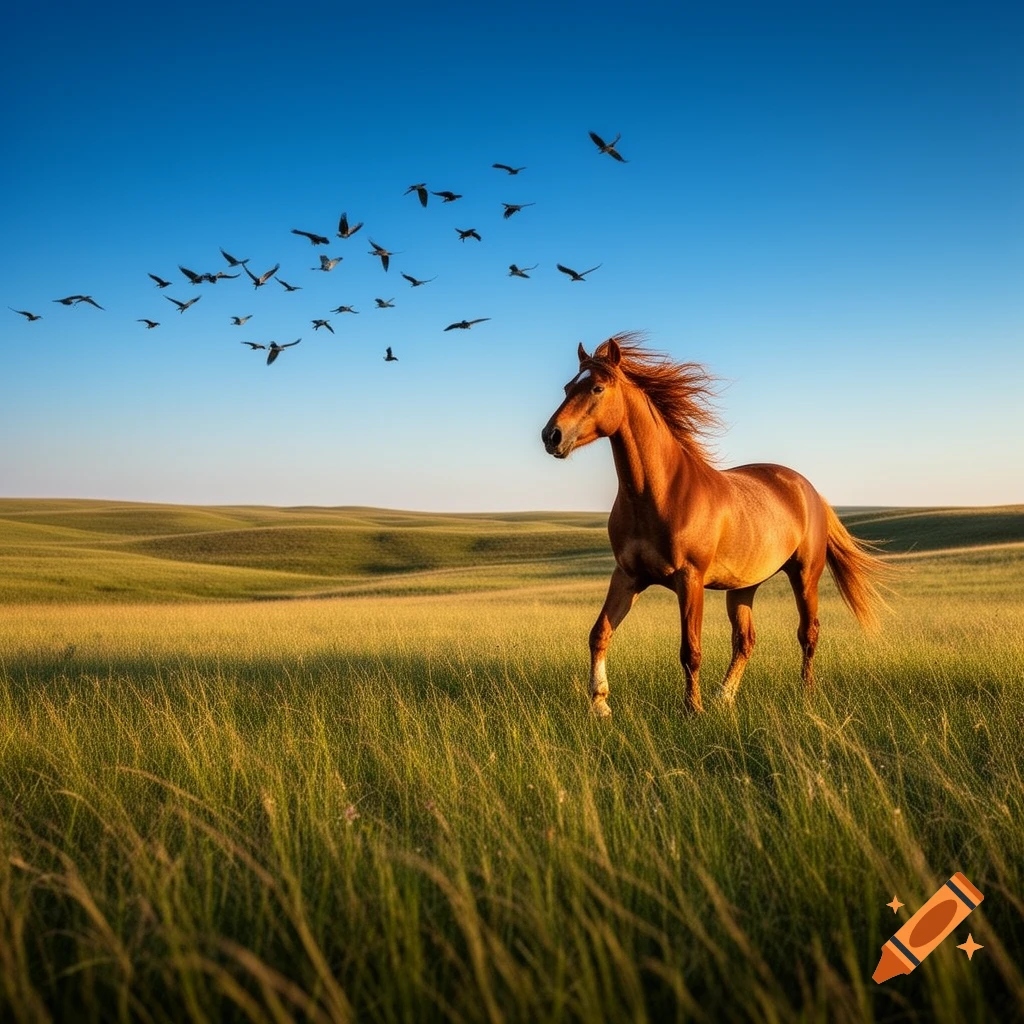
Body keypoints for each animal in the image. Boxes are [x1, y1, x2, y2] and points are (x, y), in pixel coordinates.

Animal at [540, 333, 889, 717]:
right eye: (567, 387)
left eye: (597, 388)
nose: (551, 436)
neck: (660, 493)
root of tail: (808, 490)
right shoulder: (628, 576)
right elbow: (599, 633)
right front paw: (600, 704)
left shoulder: (690, 579)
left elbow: (690, 650)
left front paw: (693, 709)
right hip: (743, 587)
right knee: (745, 640)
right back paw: (725, 697)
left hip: (805, 575)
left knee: (808, 633)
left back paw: (806, 695)